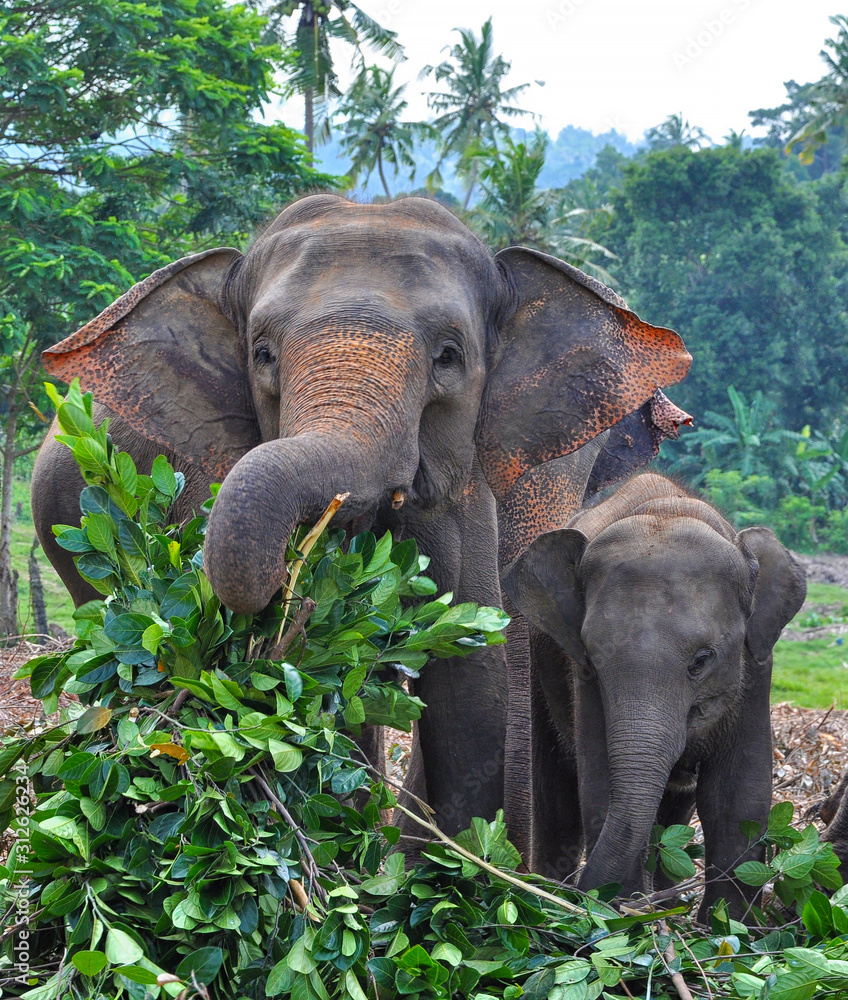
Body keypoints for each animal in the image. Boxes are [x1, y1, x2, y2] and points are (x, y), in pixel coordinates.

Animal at [502, 472, 806, 918]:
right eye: (593, 656)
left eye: (701, 661)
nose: (595, 898)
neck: (667, 509)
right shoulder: (582, 678)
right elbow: (600, 782)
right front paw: (623, 916)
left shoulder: (756, 666)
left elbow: (737, 793)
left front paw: (724, 926)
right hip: (540, 673)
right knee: (556, 791)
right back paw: (552, 895)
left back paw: (666, 901)